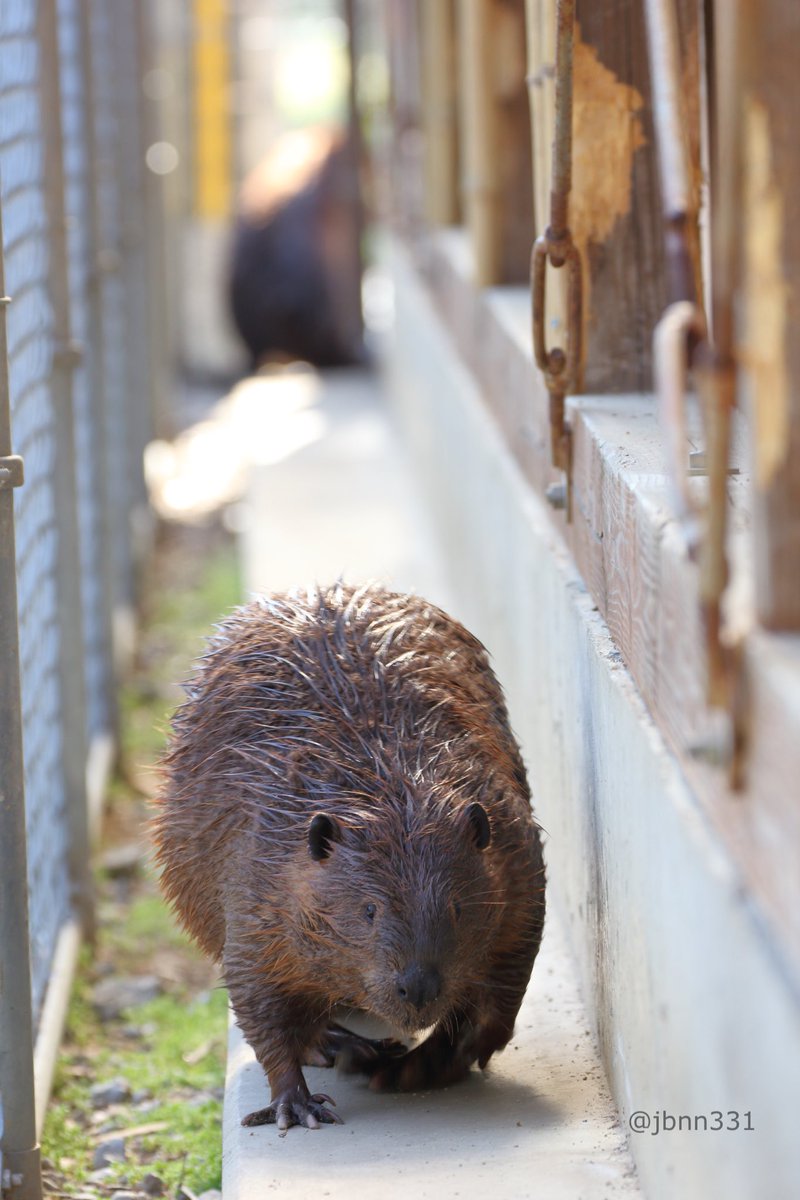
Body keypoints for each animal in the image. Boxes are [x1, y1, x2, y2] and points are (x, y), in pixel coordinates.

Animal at [151, 580, 544, 1132]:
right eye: (369, 910)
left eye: (457, 908)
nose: (417, 987)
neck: (394, 793)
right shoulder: (257, 875)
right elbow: (256, 995)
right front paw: (296, 1104)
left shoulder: (516, 853)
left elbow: (507, 975)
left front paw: (420, 1067)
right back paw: (350, 1048)